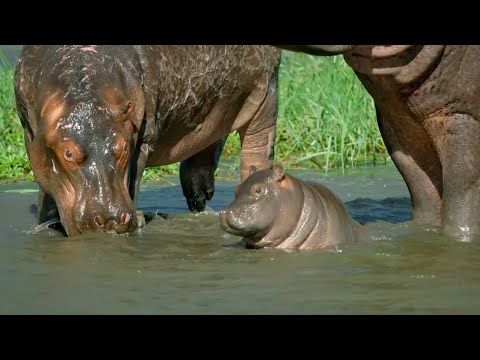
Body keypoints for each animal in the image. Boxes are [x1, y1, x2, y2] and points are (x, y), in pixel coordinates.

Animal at [15, 45, 282, 236]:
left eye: (123, 147)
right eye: (68, 153)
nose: (110, 218)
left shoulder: (142, 136)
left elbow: (133, 179)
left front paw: (139, 220)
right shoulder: (31, 132)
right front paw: (46, 221)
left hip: (265, 96)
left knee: (257, 150)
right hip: (217, 105)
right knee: (207, 144)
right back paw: (200, 197)